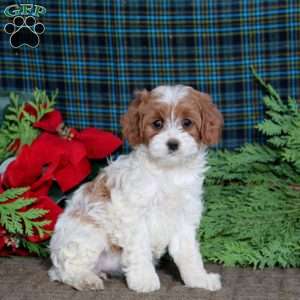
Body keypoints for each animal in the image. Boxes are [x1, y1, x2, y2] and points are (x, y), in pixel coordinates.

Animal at [48, 84, 223, 292]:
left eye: (187, 122)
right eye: (157, 123)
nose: (172, 144)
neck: (168, 172)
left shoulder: (184, 216)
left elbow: (188, 252)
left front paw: (198, 279)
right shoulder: (134, 216)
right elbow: (139, 249)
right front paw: (144, 279)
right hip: (88, 234)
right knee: (65, 270)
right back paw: (86, 279)